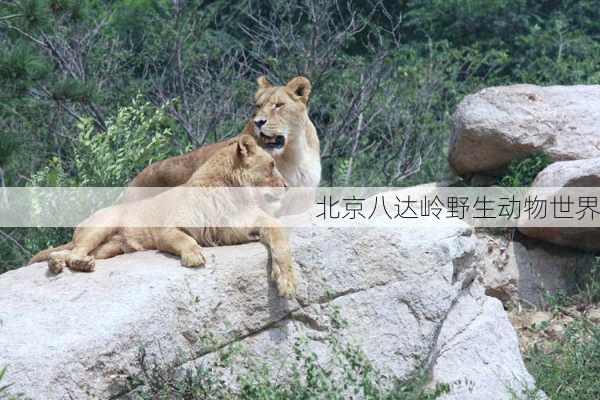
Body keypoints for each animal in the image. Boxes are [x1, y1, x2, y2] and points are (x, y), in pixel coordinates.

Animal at [29, 136, 296, 298]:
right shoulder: (169, 229)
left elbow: (281, 245)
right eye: (271, 166)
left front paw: (287, 282)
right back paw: (65, 264)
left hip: (109, 248)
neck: (231, 192)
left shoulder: (259, 223)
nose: (286, 186)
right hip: (102, 225)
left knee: (72, 253)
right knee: (74, 251)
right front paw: (194, 256)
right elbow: (185, 240)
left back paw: (67, 263)